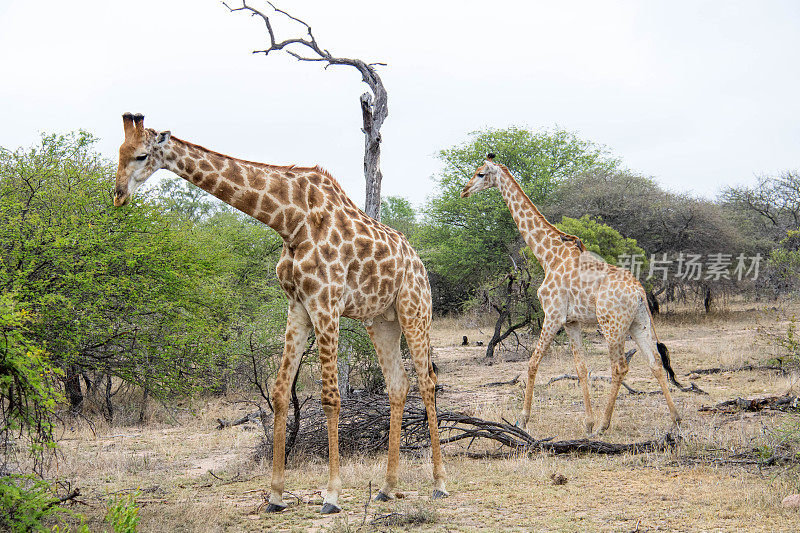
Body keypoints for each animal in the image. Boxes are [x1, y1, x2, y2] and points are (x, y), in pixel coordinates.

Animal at [462, 152, 680, 434]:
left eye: (480, 173)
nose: (464, 190)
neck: (549, 257)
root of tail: (641, 292)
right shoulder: (572, 321)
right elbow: (581, 367)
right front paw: (587, 422)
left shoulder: (553, 315)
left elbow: (532, 363)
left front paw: (523, 419)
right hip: (638, 323)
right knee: (655, 363)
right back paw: (675, 419)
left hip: (612, 325)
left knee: (619, 367)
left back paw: (604, 426)